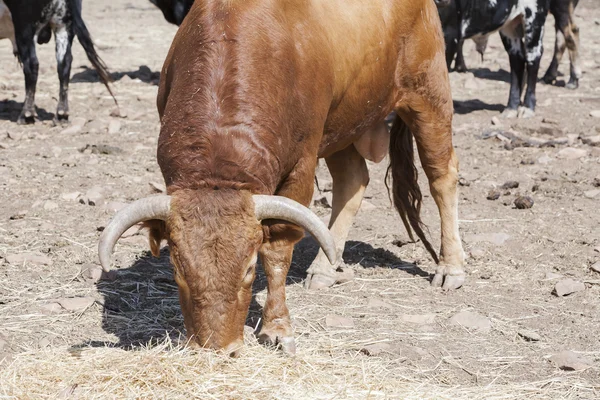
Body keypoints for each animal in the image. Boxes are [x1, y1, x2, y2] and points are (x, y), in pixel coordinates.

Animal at [98, 0, 466, 356]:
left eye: (249, 269)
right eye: (177, 269)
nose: (217, 350)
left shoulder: (301, 167)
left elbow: (277, 252)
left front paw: (277, 328)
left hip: (428, 93)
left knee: (441, 176)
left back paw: (450, 268)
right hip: (342, 124)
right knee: (353, 180)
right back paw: (324, 269)